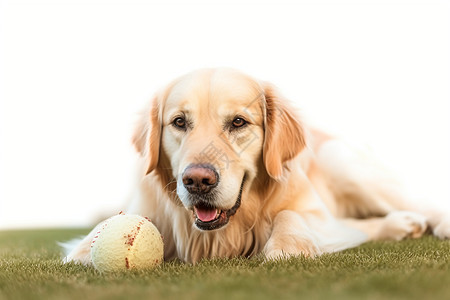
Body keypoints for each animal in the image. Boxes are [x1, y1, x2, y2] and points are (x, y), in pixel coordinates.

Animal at [64, 67, 450, 262]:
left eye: (238, 122)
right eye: (179, 122)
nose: (197, 181)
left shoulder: (315, 213)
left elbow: (289, 214)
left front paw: (288, 247)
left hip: (341, 160)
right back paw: (401, 226)